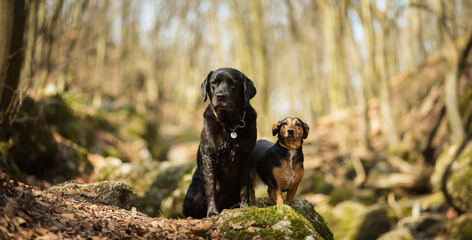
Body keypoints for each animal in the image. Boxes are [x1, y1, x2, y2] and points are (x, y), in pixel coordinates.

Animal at [183, 67, 258, 218]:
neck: (230, 125)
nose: (220, 96)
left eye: (233, 84)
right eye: (214, 83)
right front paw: (212, 212)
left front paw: (245, 206)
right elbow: (211, 186)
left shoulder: (246, 156)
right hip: (195, 192)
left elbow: (244, 186)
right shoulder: (209, 155)